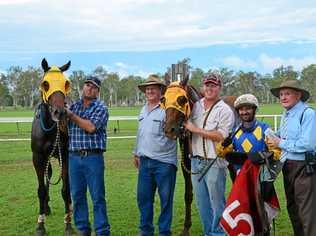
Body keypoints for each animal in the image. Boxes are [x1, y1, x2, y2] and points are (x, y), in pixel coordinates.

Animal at [162, 73, 236, 234]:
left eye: (181, 99)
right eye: (163, 99)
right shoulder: (187, 165)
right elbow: (189, 194)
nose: (169, 130)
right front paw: (186, 228)